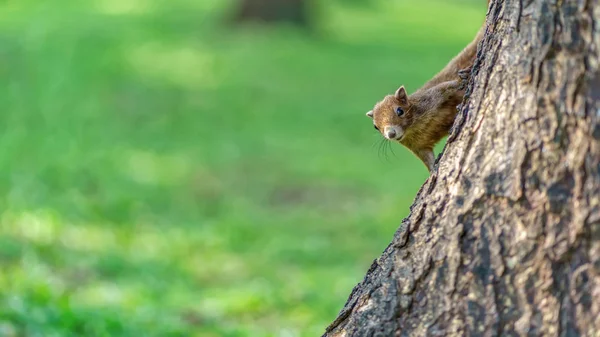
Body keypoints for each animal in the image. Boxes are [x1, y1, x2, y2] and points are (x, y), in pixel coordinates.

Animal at [366, 9, 488, 172]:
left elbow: (445, 88)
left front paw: (461, 80)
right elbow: (427, 158)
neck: (412, 128)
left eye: (400, 111)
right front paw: (433, 171)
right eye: (375, 126)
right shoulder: (418, 147)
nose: (391, 134)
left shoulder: (430, 99)